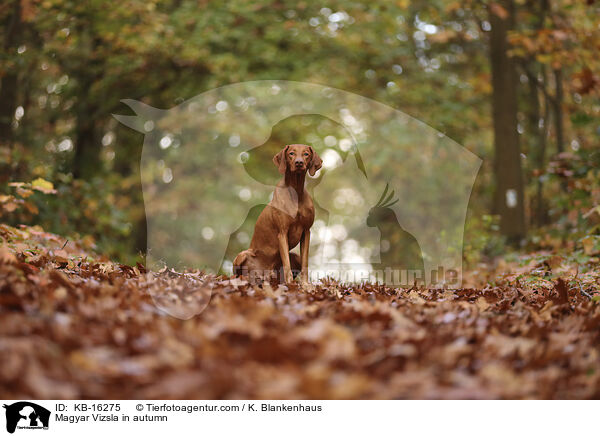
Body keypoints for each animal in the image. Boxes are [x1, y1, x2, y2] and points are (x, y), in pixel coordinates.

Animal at [232, 143, 322, 286]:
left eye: (306, 154)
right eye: (291, 153)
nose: (299, 163)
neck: (296, 192)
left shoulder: (306, 232)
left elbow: (305, 263)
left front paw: (305, 285)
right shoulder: (282, 232)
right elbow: (287, 265)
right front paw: (291, 285)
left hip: (294, 257)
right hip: (243, 255)